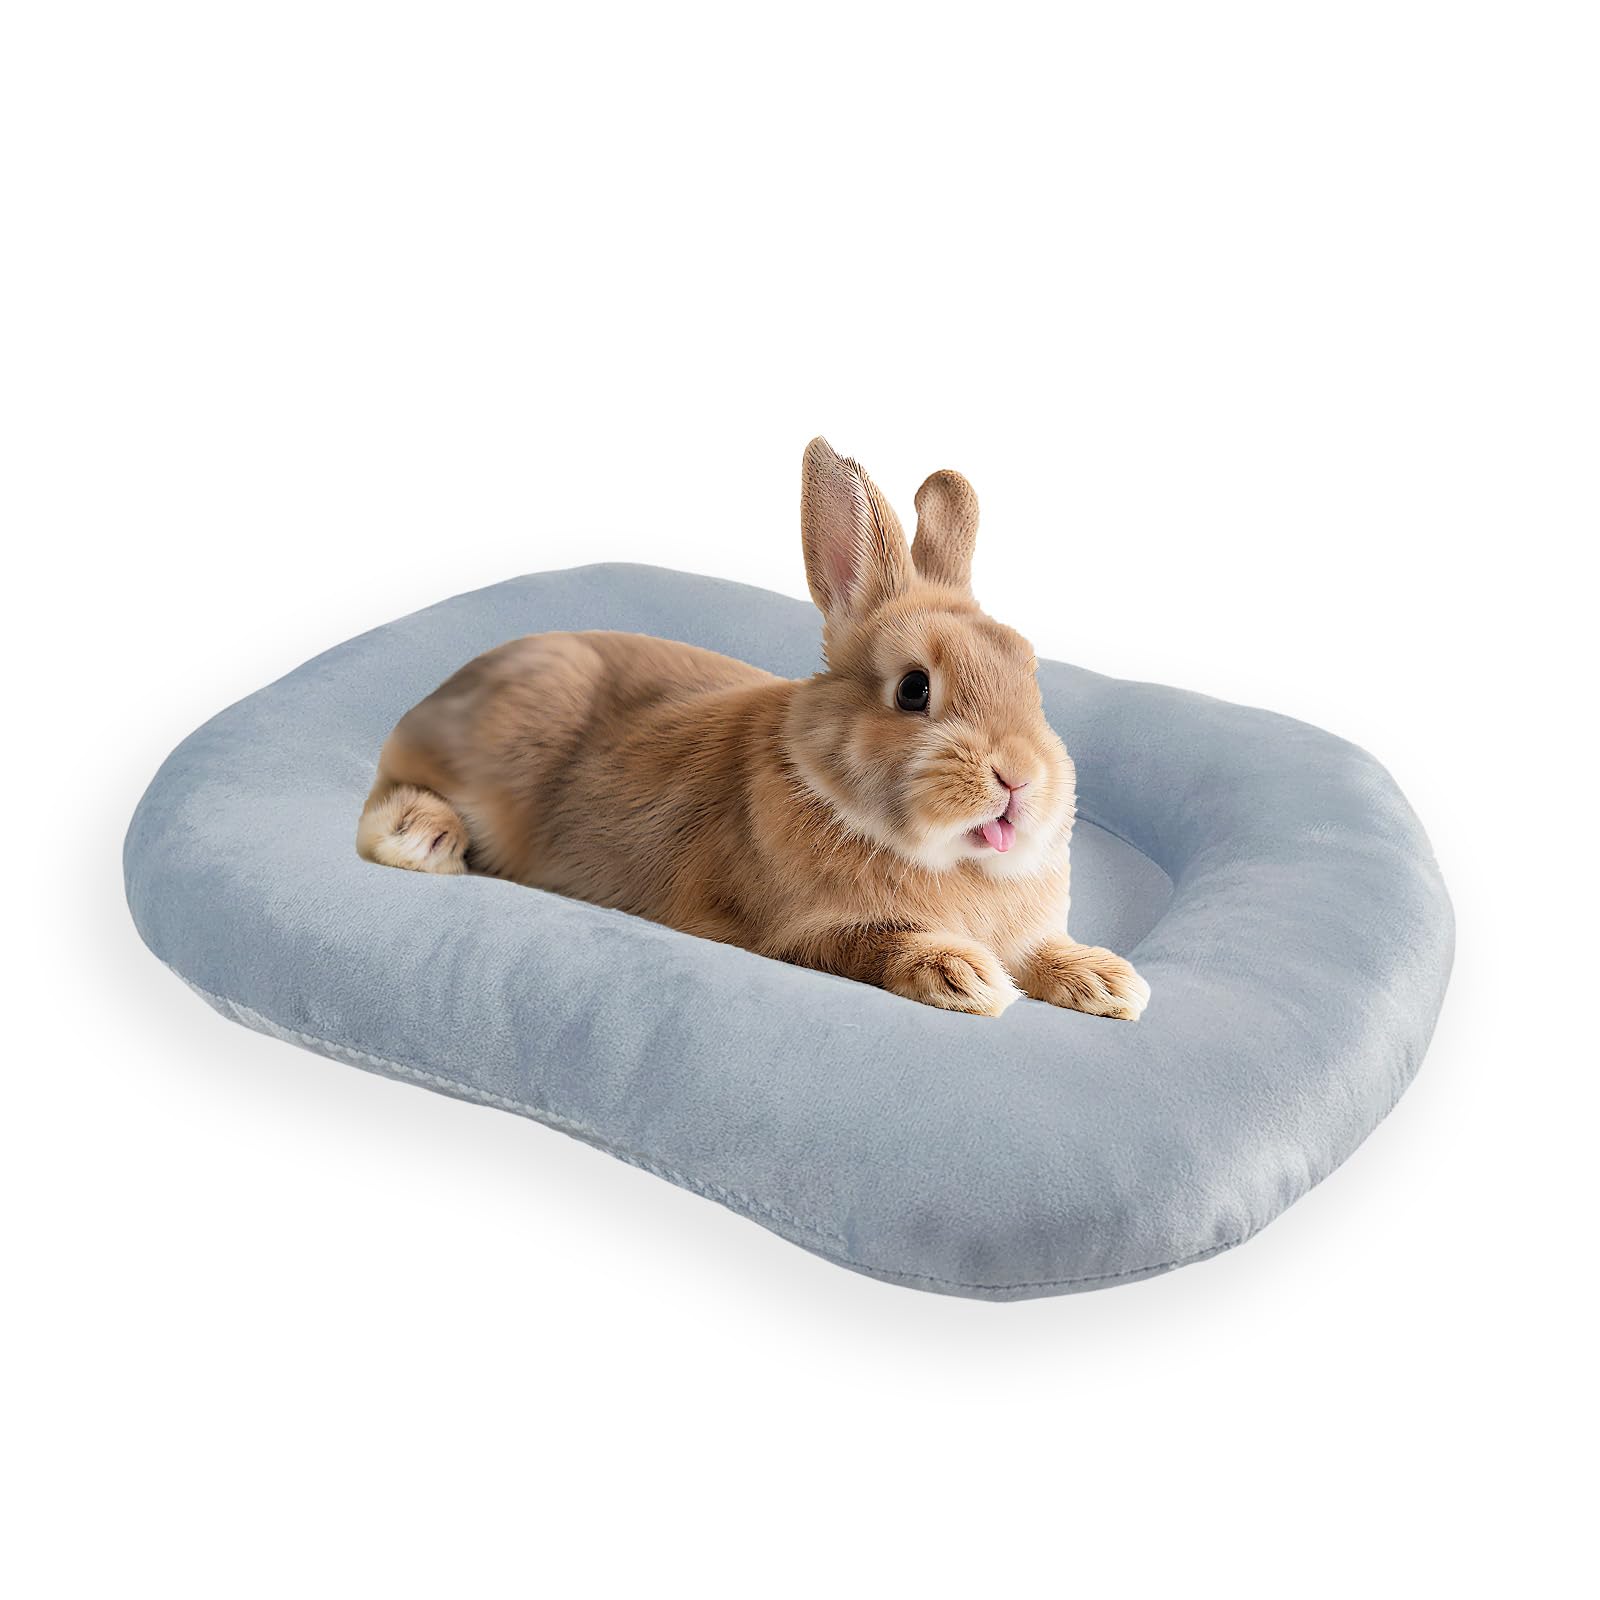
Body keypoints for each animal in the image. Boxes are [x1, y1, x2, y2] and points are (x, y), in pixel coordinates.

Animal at [356, 438, 1149, 1021]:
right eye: (914, 689)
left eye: (1030, 674)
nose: (1019, 778)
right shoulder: (793, 931)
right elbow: (872, 943)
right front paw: (964, 975)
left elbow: (1042, 952)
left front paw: (1111, 983)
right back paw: (421, 836)